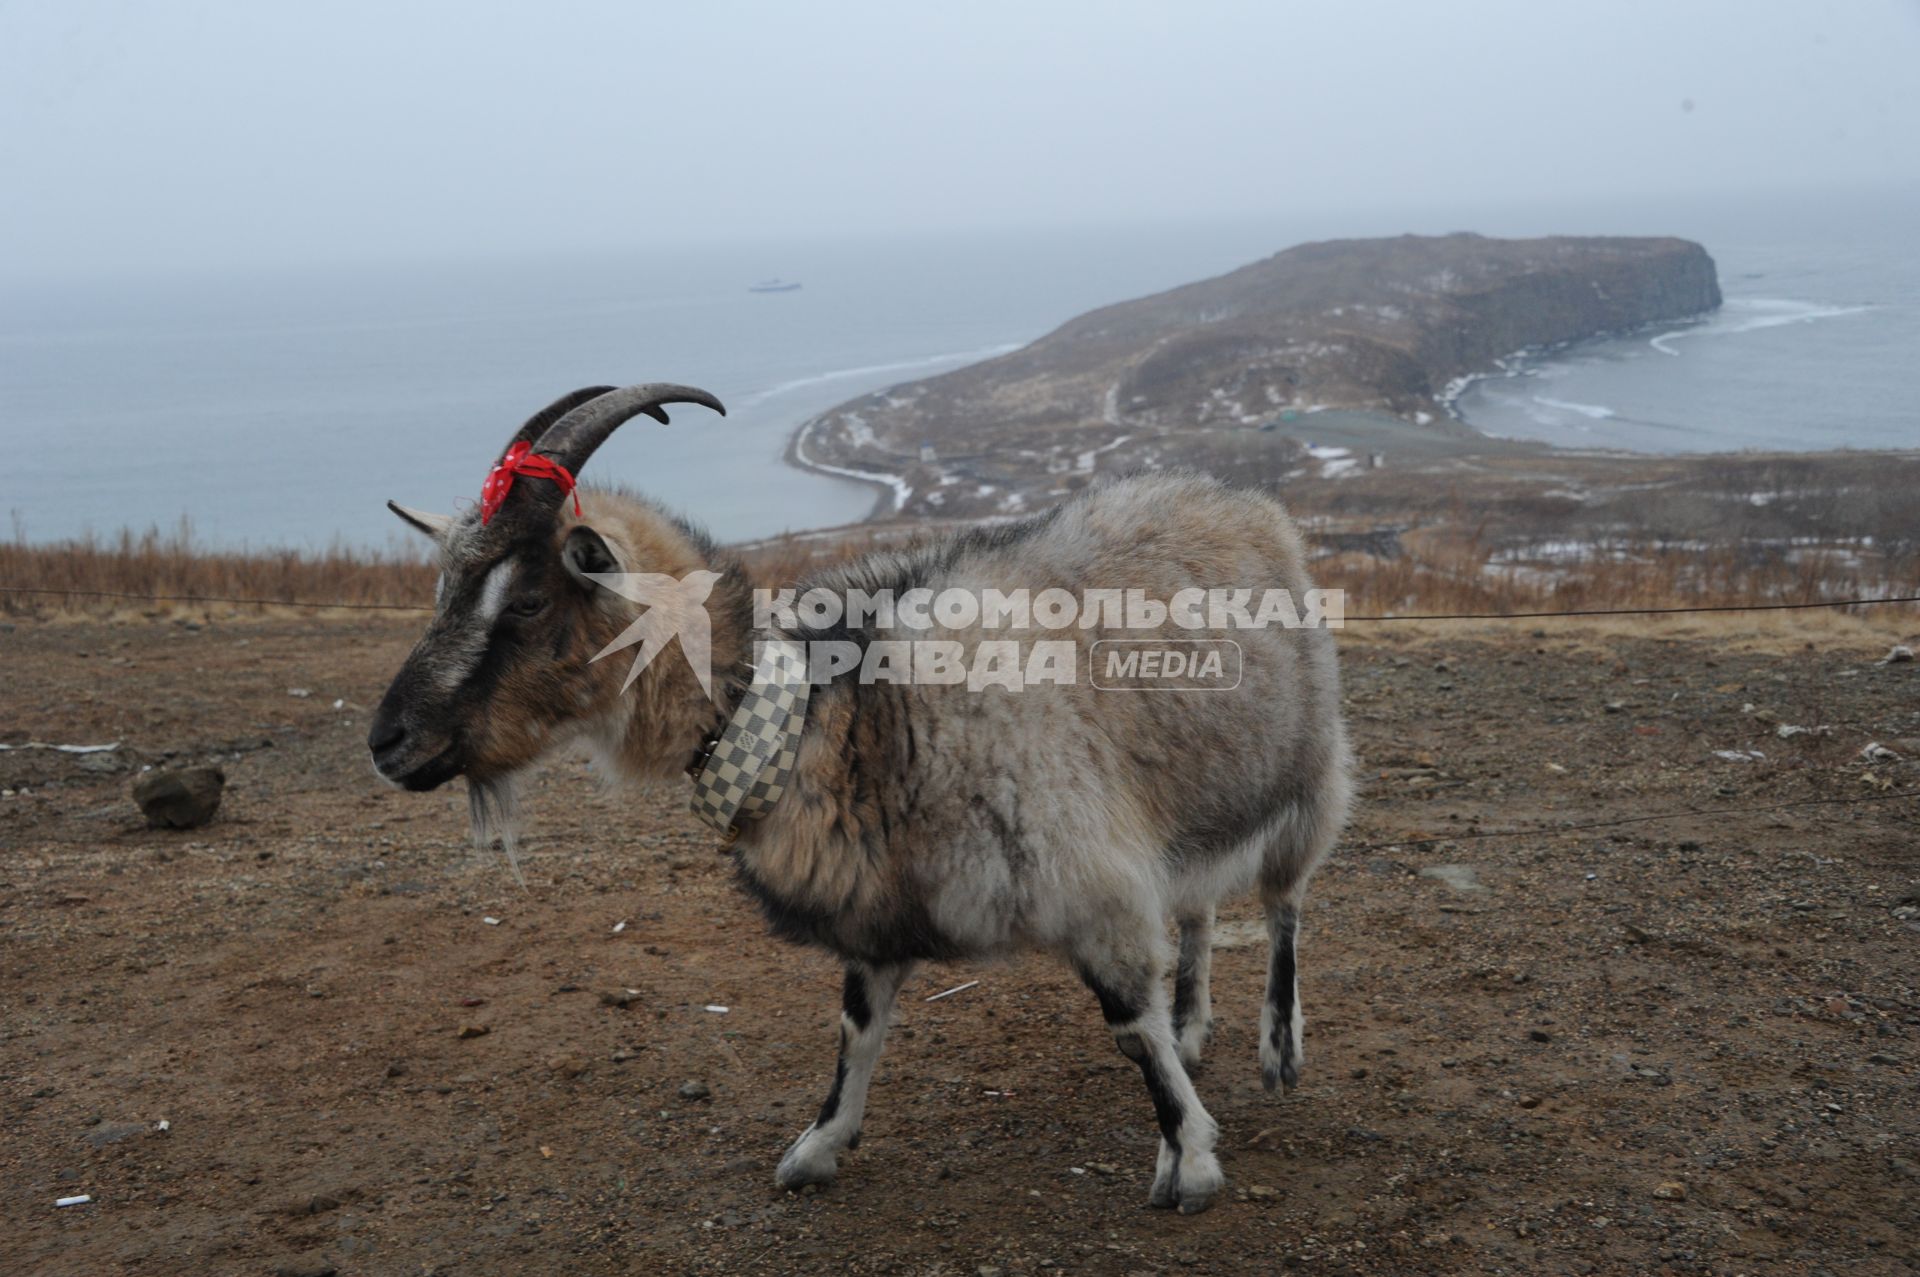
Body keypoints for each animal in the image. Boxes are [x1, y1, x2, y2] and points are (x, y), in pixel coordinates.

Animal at [366, 380, 1344, 1205]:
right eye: (446, 587)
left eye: (528, 600)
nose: (388, 741)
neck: (831, 717)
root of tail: (1244, 501)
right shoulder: (878, 902)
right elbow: (857, 1027)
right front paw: (817, 1146)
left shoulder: (1090, 882)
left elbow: (1128, 1023)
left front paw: (1188, 1159)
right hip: (1196, 790)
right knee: (1201, 903)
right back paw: (1196, 1023)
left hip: (1309, 769)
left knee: (1286, 900)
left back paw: (1279, 1047)